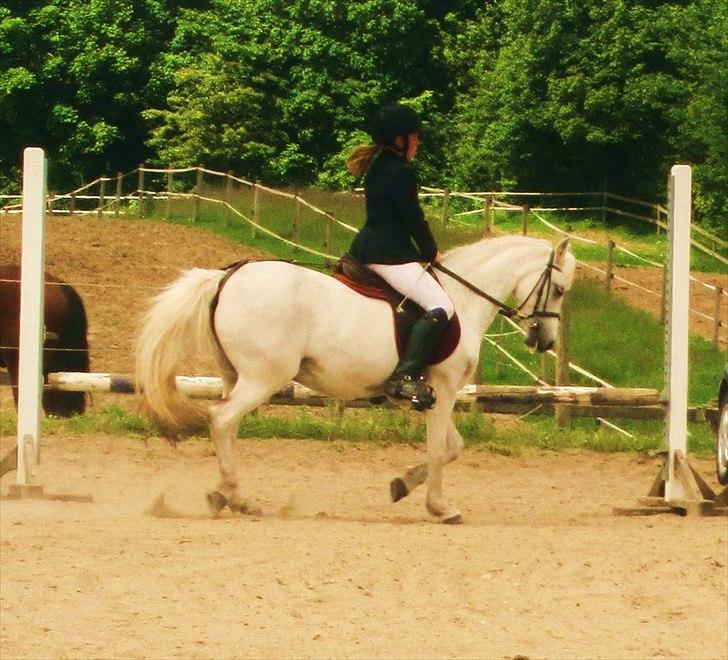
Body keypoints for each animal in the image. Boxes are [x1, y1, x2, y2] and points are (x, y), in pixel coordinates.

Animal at [135, 235, 575, 523]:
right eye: (557, 289)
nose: (544, 340)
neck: (462, 300)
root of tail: (227, 276)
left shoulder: (434, 395)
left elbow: (453, 447)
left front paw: (401, 485)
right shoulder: (445, 389)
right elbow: (439, 450)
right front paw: (439, 508)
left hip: (236, 374)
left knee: (228, 427)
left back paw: (226, 495)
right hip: (264, 377)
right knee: (222, 419)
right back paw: (238, 499)